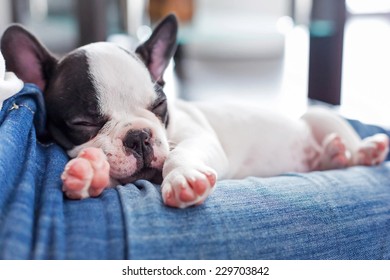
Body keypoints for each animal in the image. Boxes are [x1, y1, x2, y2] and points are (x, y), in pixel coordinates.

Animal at [1, 15, 388, 208]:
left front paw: (183, 178)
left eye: (159, 106)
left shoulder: (198, 139)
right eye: (83, 123)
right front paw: (89, 173)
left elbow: (179, 154)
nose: (139, 137)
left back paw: (360, 150)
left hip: (318, 117)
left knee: (344, 137)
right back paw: (333, 155)